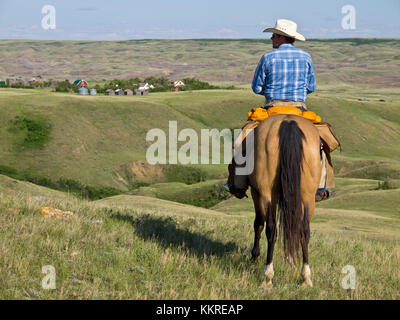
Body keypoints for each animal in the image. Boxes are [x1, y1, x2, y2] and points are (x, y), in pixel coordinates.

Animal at [241, 113, 322, 288]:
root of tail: (288, 121)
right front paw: (290, 261)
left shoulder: (256, 192)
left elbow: (258, 224)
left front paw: (254, 256)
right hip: (308, 196)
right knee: (304, 231)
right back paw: (306, 277)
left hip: (266, 194)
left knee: (271, 229)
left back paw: (268, 277)